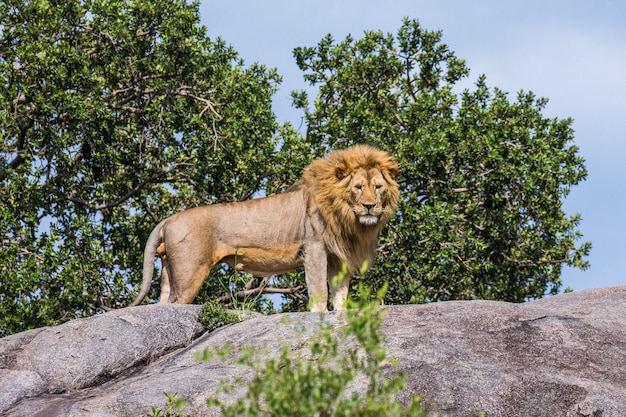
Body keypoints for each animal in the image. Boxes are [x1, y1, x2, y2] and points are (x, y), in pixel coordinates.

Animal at [130, 145, 400, 310]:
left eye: (378, 187)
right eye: (358, 187)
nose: (369, 206)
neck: (347, 218)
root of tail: (168, 219)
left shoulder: (338, 256)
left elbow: (340, 292)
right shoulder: (314, 248)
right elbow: (319, 290)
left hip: (169, 270)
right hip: (189, 273)